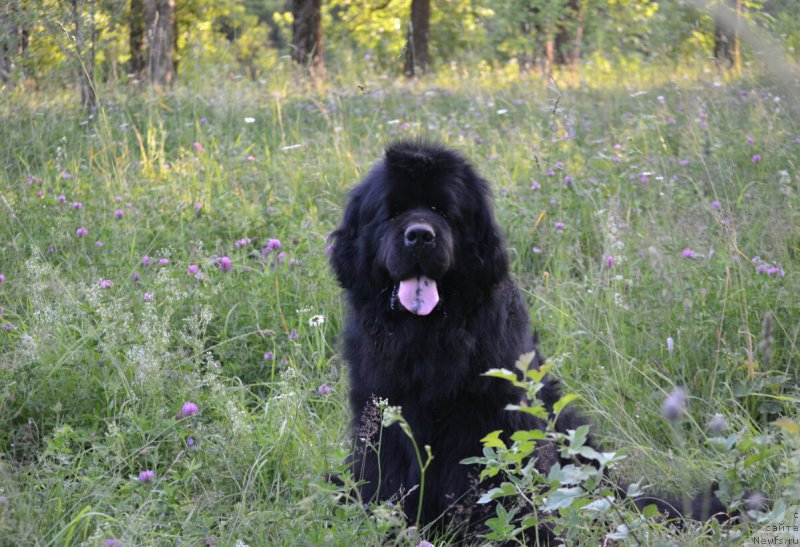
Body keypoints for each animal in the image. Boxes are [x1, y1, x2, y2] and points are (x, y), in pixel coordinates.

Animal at [328, 141, 728, 544]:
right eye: (392, 213)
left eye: (444, 211)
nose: (420, 235)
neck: (429, 336)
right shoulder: (380, 410)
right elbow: (387, 475)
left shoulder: (491, 414)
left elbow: (494, 479)